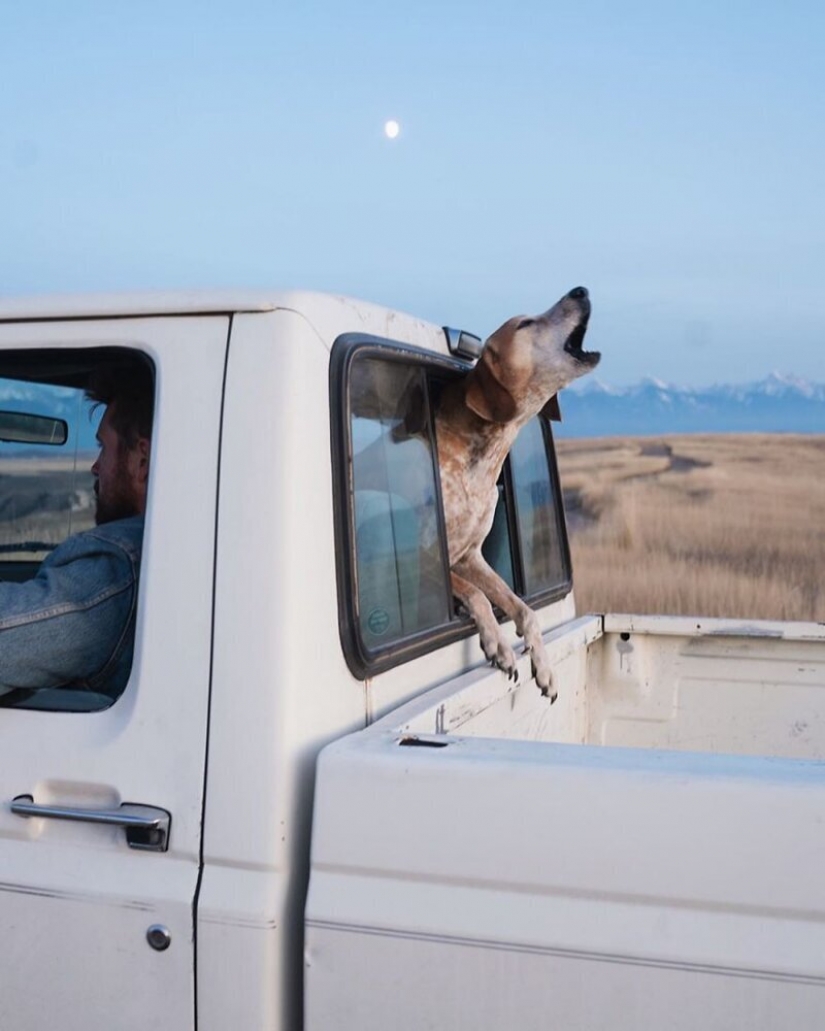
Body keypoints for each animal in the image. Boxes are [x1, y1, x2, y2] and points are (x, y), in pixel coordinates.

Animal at [435, 286, 602, 701]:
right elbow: (476, 595)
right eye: (525, 324)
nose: (580, 290)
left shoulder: (470, 556)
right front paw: (498, 644)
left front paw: (542, 666)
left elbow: (523, 609)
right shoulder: (440, 562)